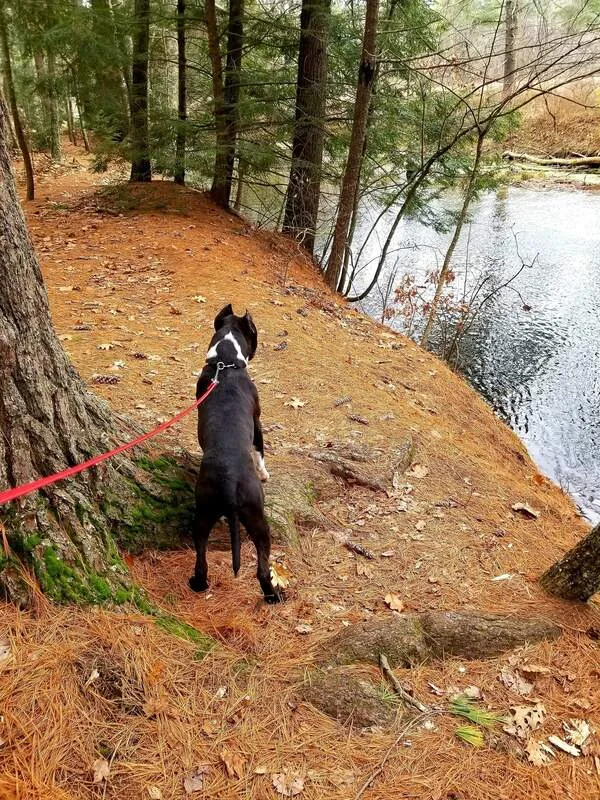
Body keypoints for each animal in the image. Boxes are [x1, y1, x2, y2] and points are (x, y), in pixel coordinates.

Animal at [188, 304, 281, 603]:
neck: (226, 363)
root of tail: (229, 483)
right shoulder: (258, 423)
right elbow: (261, 450)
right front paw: (265, 473)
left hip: (203, 514)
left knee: (201, 559)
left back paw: (198, 584)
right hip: (258, 520)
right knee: (263, 568)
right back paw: (273, 595)